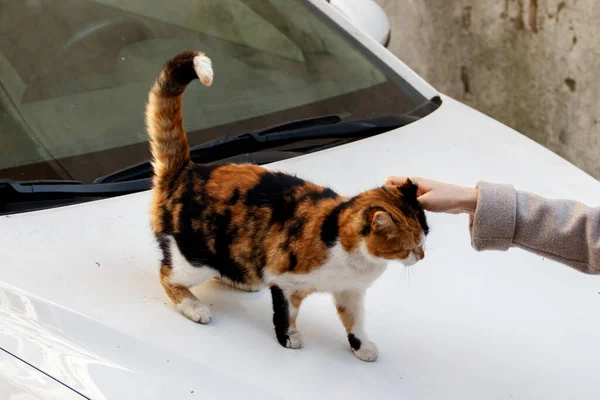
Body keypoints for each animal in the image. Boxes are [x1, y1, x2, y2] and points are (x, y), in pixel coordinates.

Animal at [145, 50, 426, 362]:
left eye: (424, 238)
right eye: (410, 246)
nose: (422, 256)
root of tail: (187, 169)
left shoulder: (350, 292)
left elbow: (355, 321)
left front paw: (362, 346)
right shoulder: (284, 279)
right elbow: (286, 313)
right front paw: (289, 337)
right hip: (194, 258)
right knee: (167, 275)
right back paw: (193, 306)